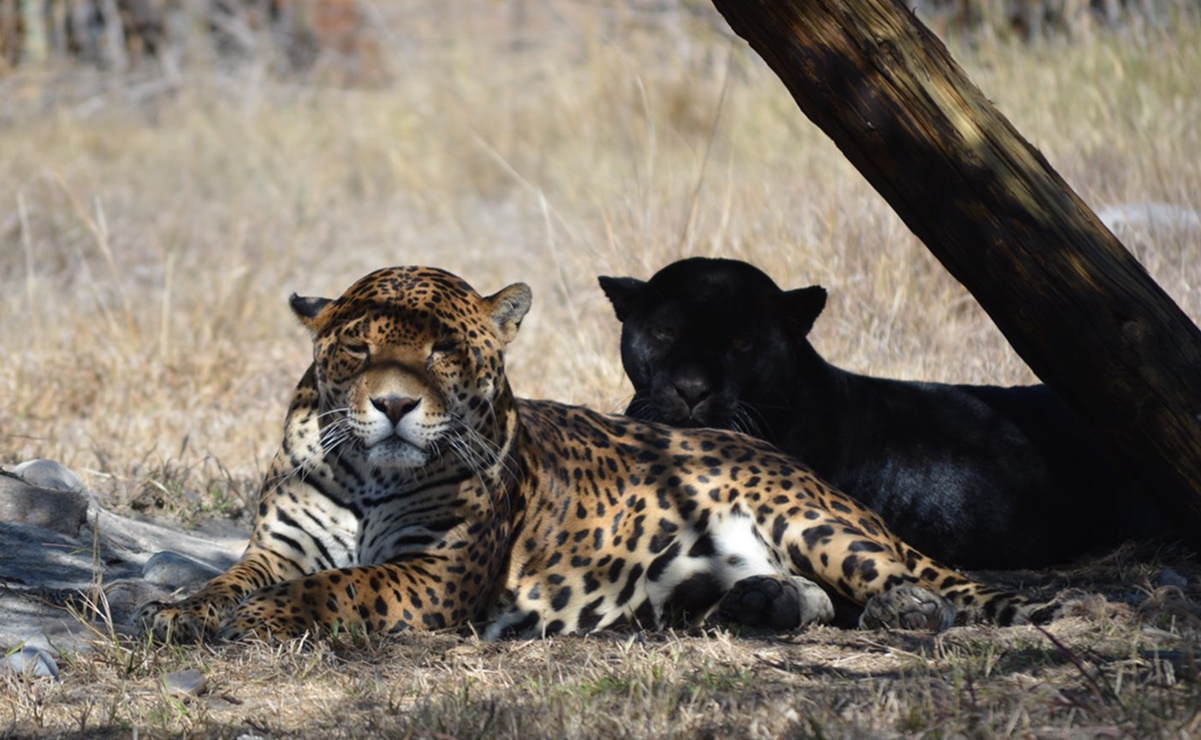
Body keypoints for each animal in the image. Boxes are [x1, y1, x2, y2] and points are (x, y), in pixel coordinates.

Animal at [135, 265, 1054, 643]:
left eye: (441, 352)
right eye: (357, 350)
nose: (392, 406)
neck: (366, 472)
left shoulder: (431, 571)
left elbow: (339, 585)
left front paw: (262, 617)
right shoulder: (277, 548)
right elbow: (228, 579)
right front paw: (183, 611)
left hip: (819, 525)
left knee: (921, 584)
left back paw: (910, 609)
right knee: (816, 600)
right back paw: (760, 605)